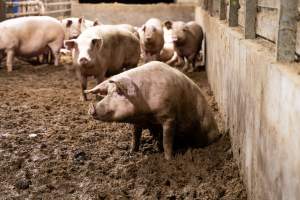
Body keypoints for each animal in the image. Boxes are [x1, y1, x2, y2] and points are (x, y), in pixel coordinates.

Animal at [85, 60, 219, 159]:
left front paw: (168, 159)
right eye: (107, 93)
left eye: (119, 92)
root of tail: (217, 131)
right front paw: (131, 152)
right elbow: (135, 136)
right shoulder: (138, 121)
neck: (145, 113)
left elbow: (167, 141)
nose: (91, 109)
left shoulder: (169, 117)